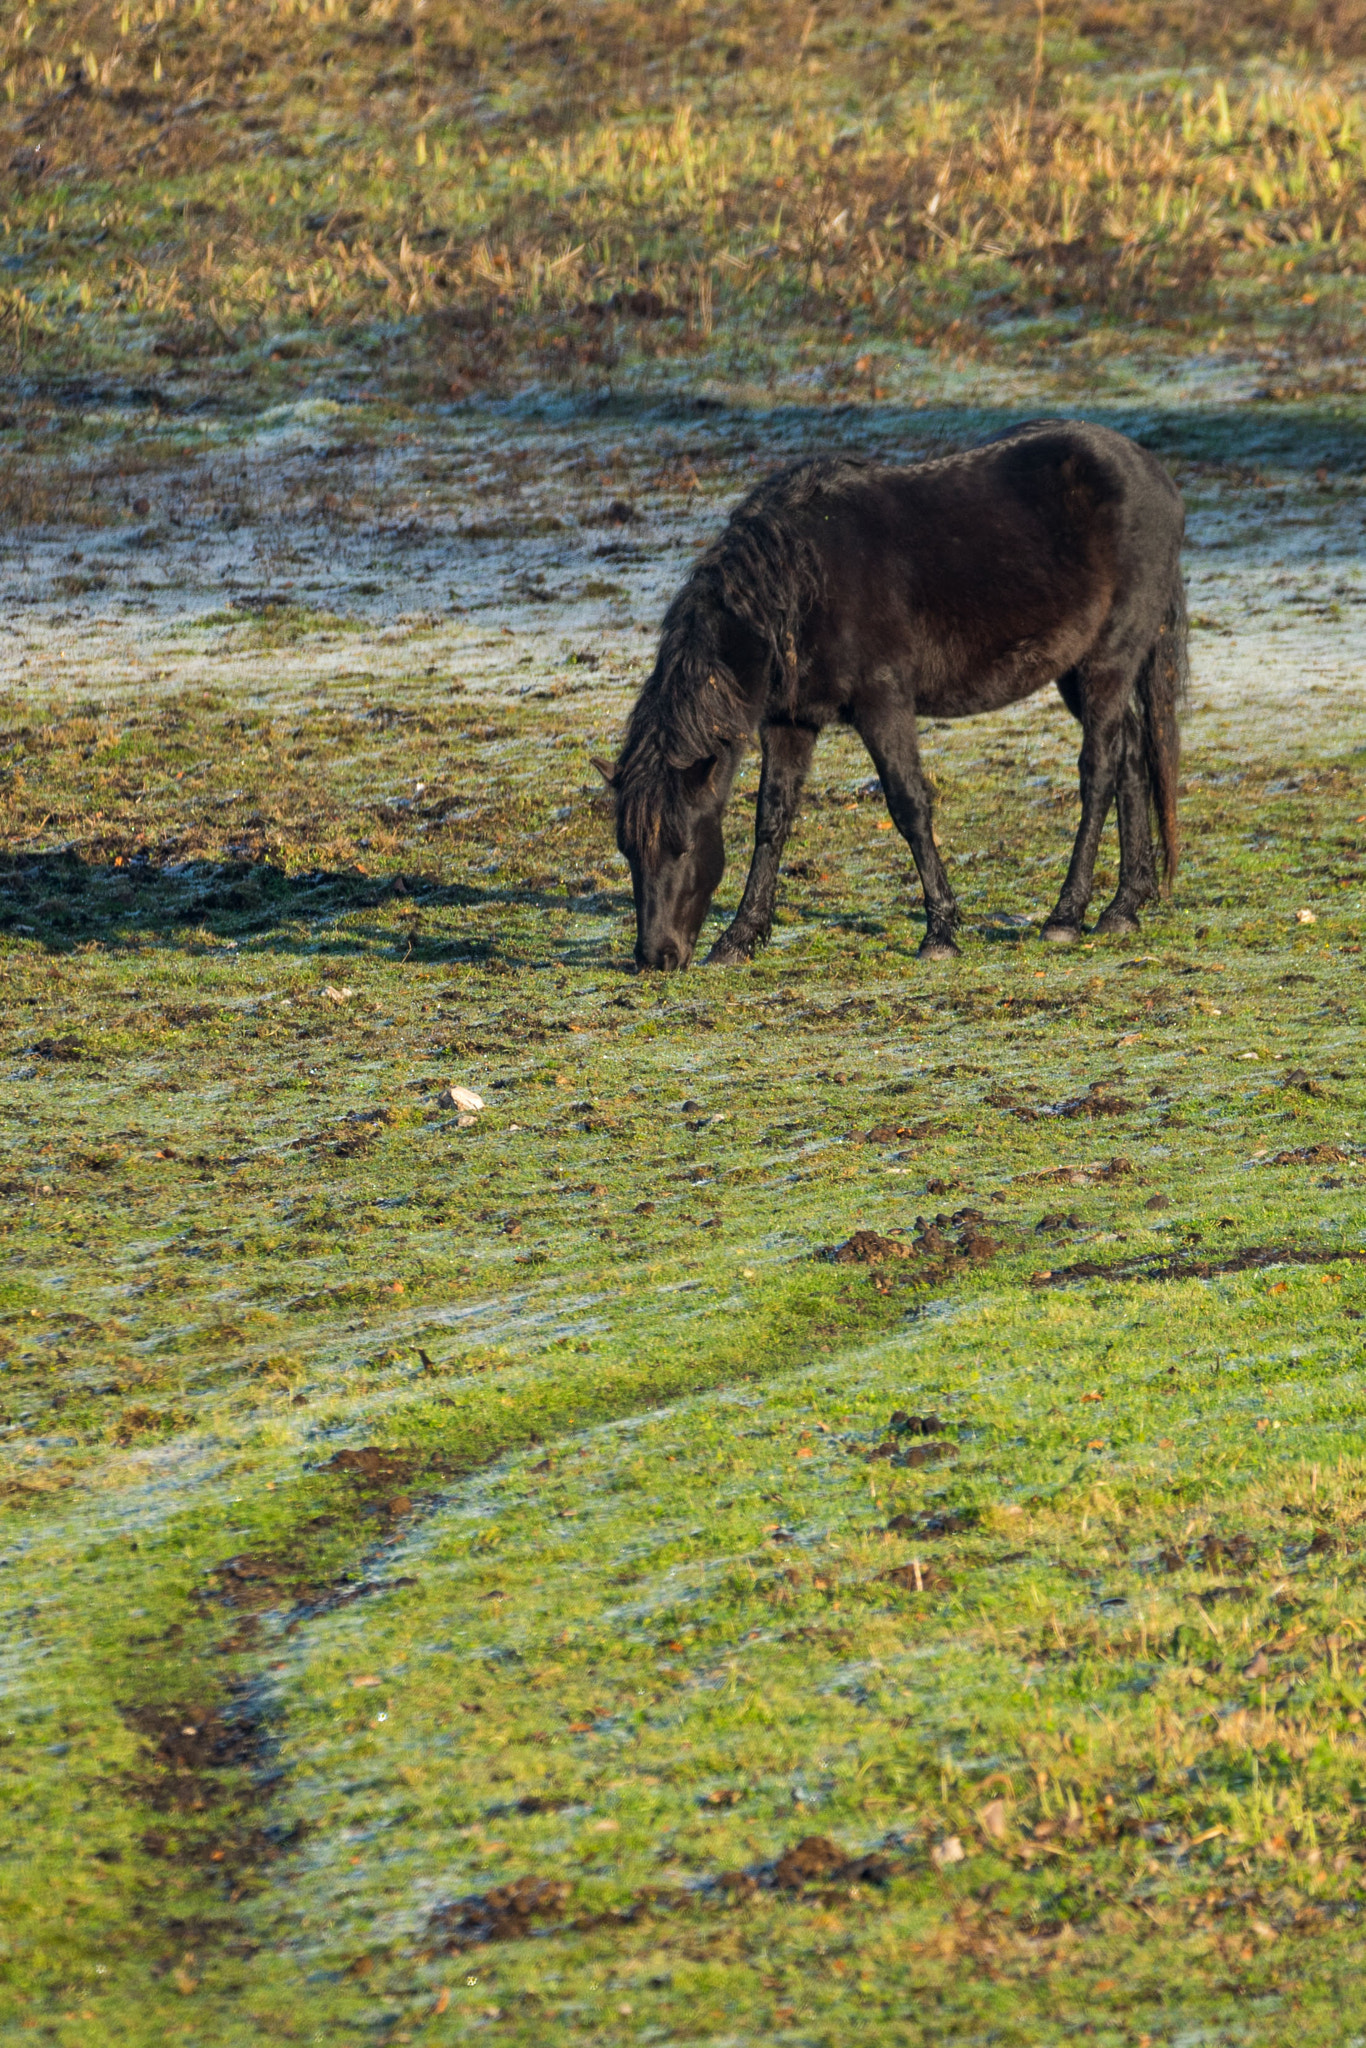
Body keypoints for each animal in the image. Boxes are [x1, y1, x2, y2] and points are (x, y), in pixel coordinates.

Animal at [599, 418, 1188, 970]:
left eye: (682, 845)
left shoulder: (882, 705)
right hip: (1078, 673)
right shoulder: (790, 722)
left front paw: (941, 933)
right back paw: (1123, 908)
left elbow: (909, 807)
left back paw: (1066, 915)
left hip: (1107, 662)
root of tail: (1155, 475)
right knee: (1131, 759)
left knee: (1100, 772)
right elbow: (772, 819)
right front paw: (740, 937)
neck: (802, 580)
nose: (655, 957)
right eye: (627, 851)